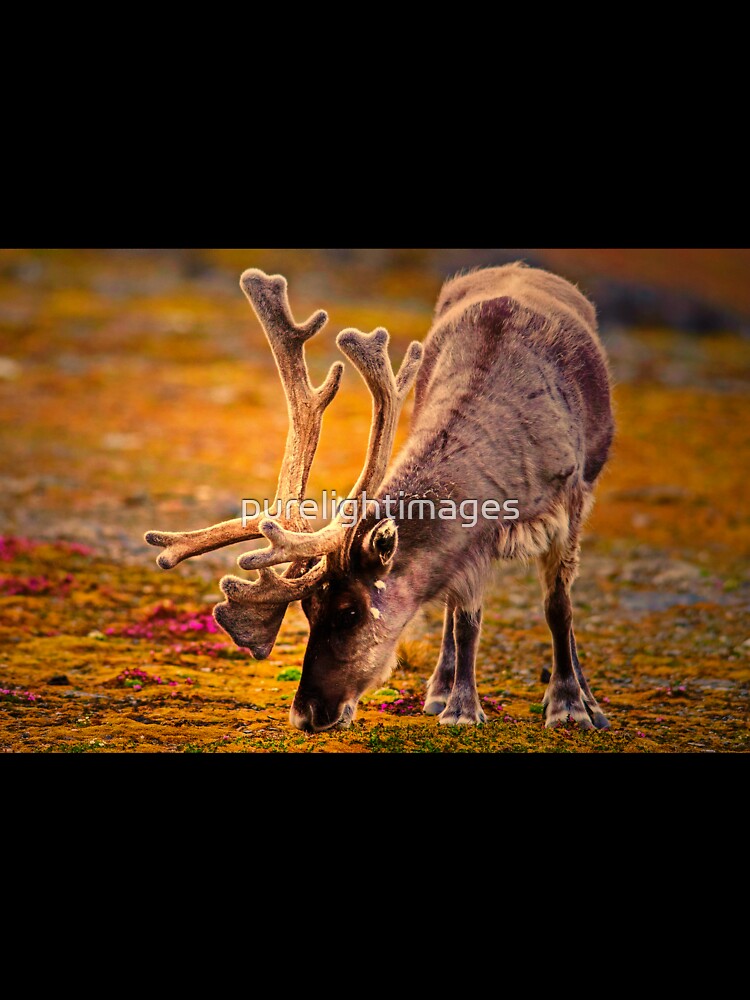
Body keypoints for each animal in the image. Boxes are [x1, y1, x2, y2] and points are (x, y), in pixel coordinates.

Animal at [145, 262, 614, 734]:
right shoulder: (471, 545)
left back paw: (588, 700)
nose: (304, 714)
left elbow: (558, 608)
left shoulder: (569, 505)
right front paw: (459, 704)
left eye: (350, 612)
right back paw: (439, 689)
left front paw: (567, 704)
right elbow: (466, 619)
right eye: (307, 608)